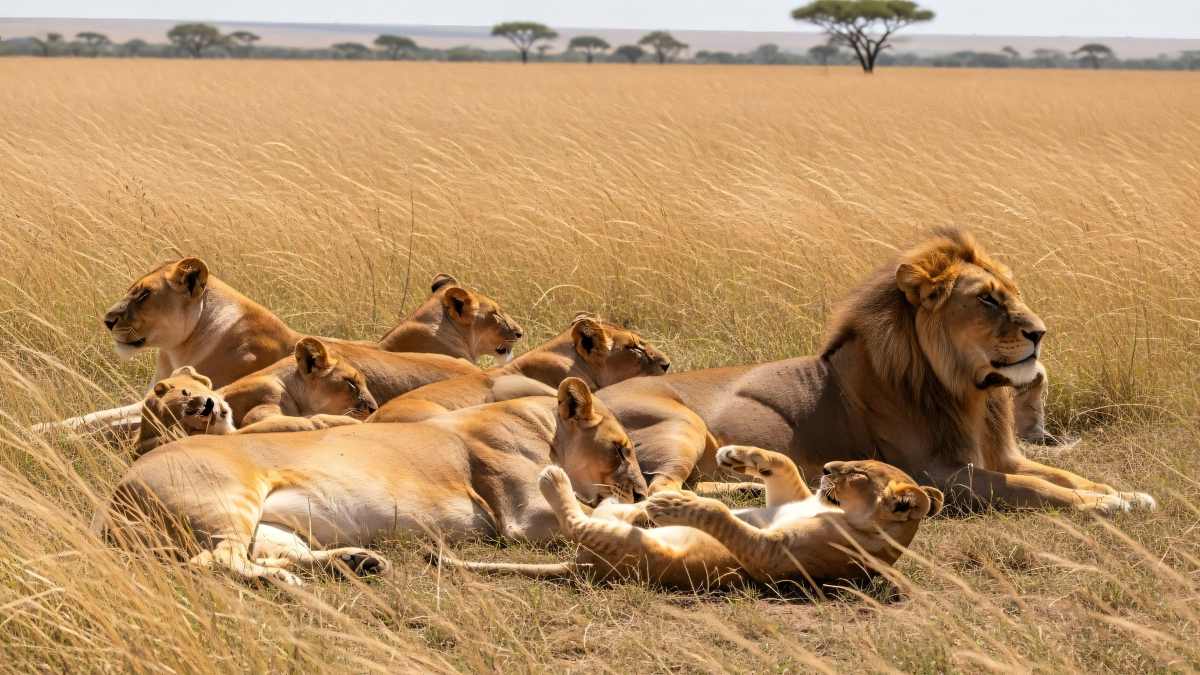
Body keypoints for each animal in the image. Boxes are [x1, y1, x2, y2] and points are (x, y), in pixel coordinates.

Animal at [40, 263, 519, 435]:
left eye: (142, 295)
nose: (107, 319)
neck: (180, 346)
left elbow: (114, 421)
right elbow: (99, 415)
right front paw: (45, 428)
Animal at [91, 378, 648, 586]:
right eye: (621, 449)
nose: (641, 488)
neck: (543, 425)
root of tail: (117, 489)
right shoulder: (521, 517)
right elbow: (590, 509)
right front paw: (646, 507)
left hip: (271, 525)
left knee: (272, 553)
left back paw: (359, 561)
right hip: (228, 502)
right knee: (215, 561)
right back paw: (289, 583)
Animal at [443, 446, 941, 590]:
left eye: (858, 474)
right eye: (856, 461)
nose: (826, 468)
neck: (830, 508)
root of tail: (579, 565)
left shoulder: (773, 557)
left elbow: (719, 513)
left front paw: (674, 506)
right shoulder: (790, 496)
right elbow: (781, 462)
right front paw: (735, 455)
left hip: (638, 548)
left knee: (579, 523)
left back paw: (555, 478)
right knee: (606, 508)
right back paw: (635, 499)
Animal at [597, 229, 1155, 513]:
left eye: (1013, 293)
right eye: (988, 300)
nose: (1040, 332)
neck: (970, 393)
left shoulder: (1005, 455)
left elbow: (1063, 474)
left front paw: (1122, 493)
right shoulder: (935, 473)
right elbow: (1035, 489)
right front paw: (1107, 506)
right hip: (681, 424)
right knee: (660, 492)